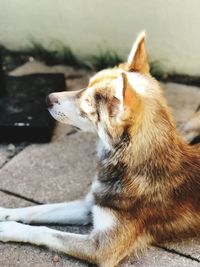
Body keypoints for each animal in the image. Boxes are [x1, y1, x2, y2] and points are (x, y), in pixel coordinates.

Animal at [0, 32, 199, 266]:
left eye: (87, 103)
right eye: (85, 86)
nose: (47, 98)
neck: (129, 164)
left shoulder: (102, 248)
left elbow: (45, 231)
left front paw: (7, 228)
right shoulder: (90, 204)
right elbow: (39, 209)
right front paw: (5, 213)